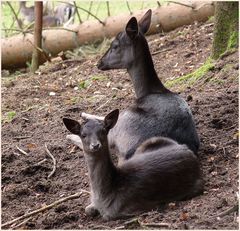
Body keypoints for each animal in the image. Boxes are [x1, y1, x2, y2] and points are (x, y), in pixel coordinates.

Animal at [62, 110, 203, 220]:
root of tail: (187, 150)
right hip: (151, 141)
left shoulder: (127, 209)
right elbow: (88, 209)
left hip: (195, 187)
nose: (95, 145)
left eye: (103, 131)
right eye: (83, 135)